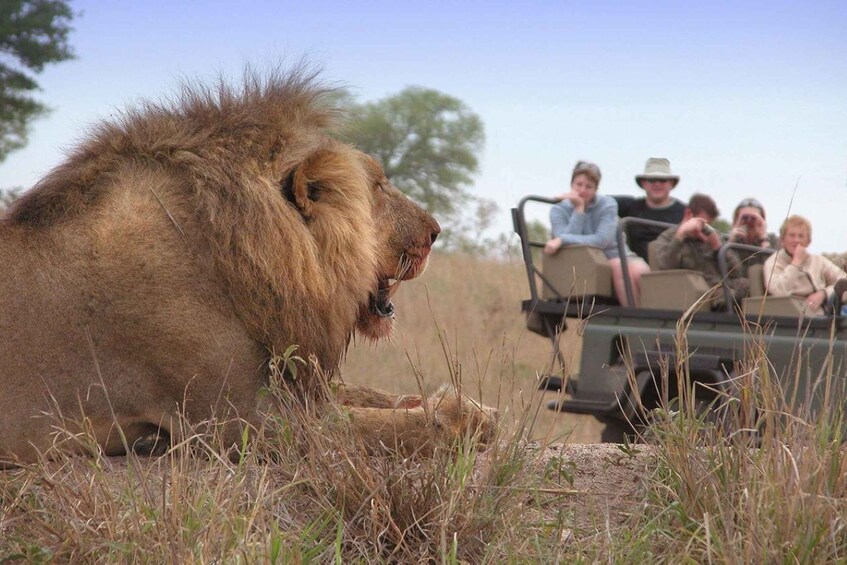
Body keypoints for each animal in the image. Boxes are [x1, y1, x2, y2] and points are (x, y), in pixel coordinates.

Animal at [0, 68, 496, 466]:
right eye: (377, 187)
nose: (435, 231)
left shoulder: (290, 380)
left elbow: (375, 397)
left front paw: (466, 404)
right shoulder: (242, 423)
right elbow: (387, 427)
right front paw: (465, 420)